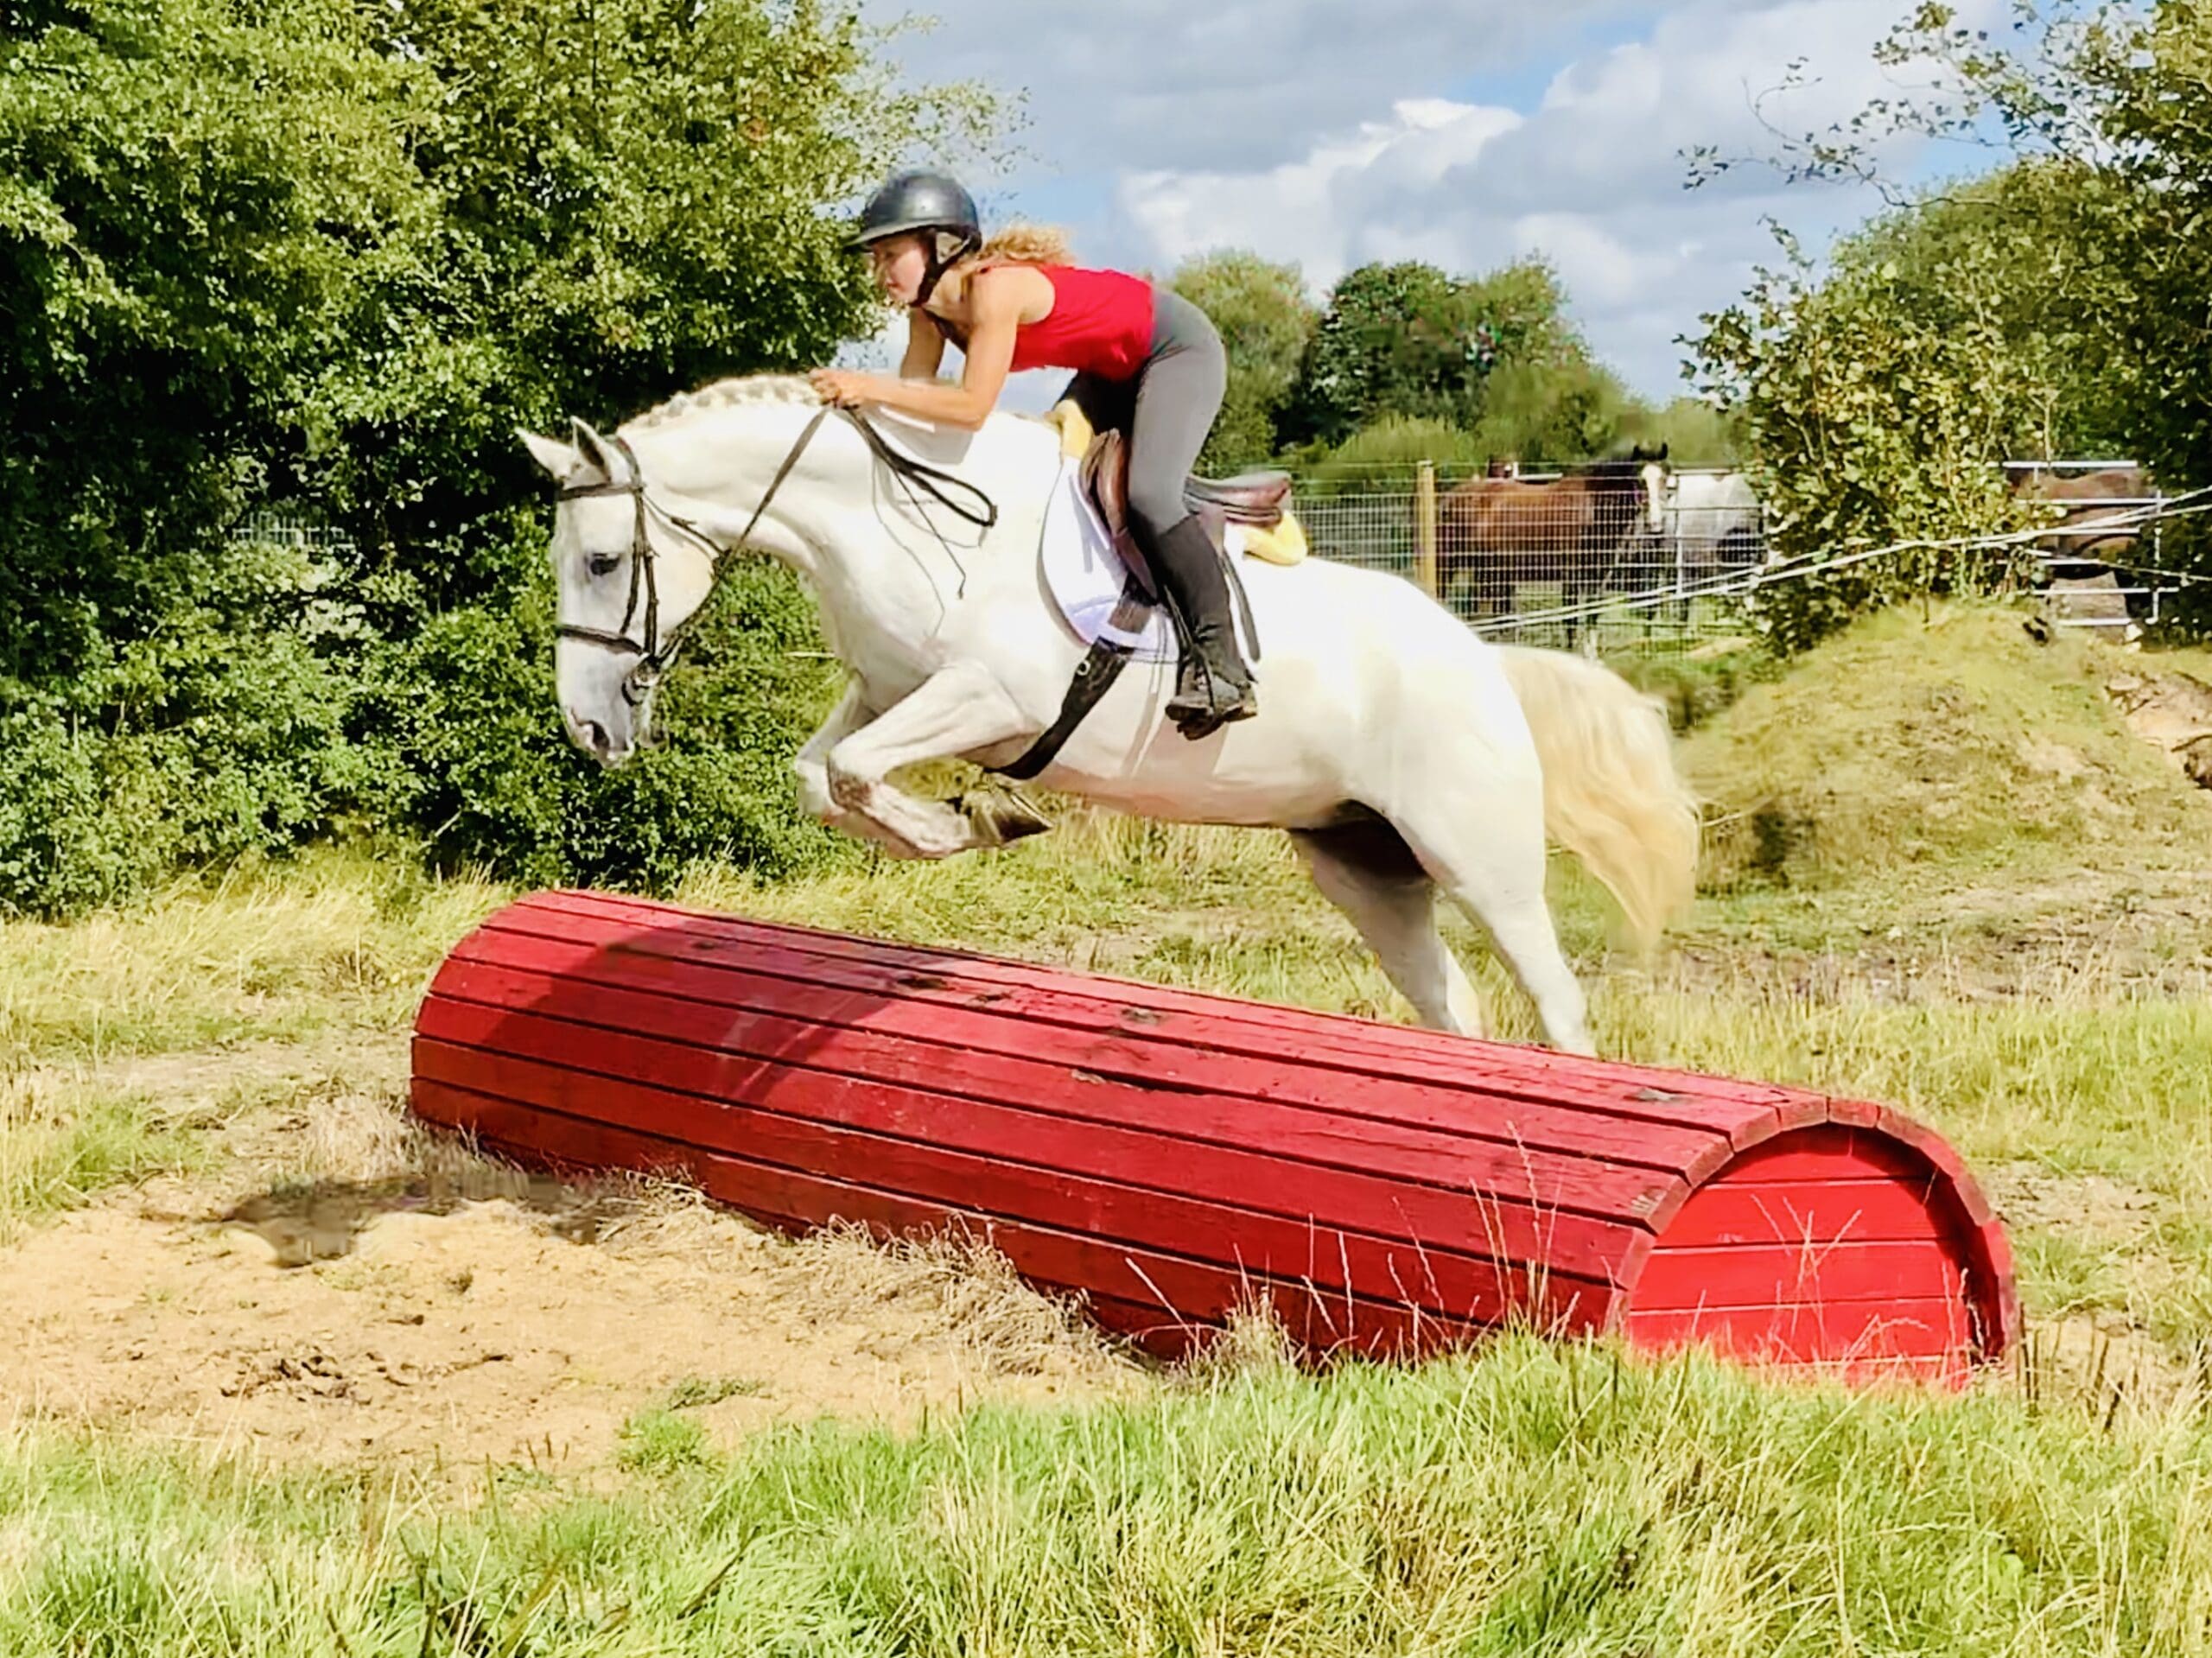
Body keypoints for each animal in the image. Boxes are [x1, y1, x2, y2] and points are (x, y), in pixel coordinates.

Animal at [1435, 446, 1670, 647]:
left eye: (1664, 480)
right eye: (1639, 481)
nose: (1656, 525)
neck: (1590, 509)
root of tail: (1449, 498)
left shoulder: (1597, 578)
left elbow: (1591, 617)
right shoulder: (1571, 576)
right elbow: (1571, 620)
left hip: (1488, 571)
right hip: (1449, 566)